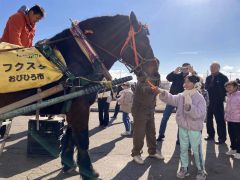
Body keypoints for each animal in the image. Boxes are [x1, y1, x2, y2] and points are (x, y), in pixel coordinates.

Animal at [0, 11, 161, 179]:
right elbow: (82, 139)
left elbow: (71, 135)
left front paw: (68, 163)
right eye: (143, 41)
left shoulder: (72, 107)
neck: (82, 55)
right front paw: (88, 170)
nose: (156, 75)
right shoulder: (79, 106)